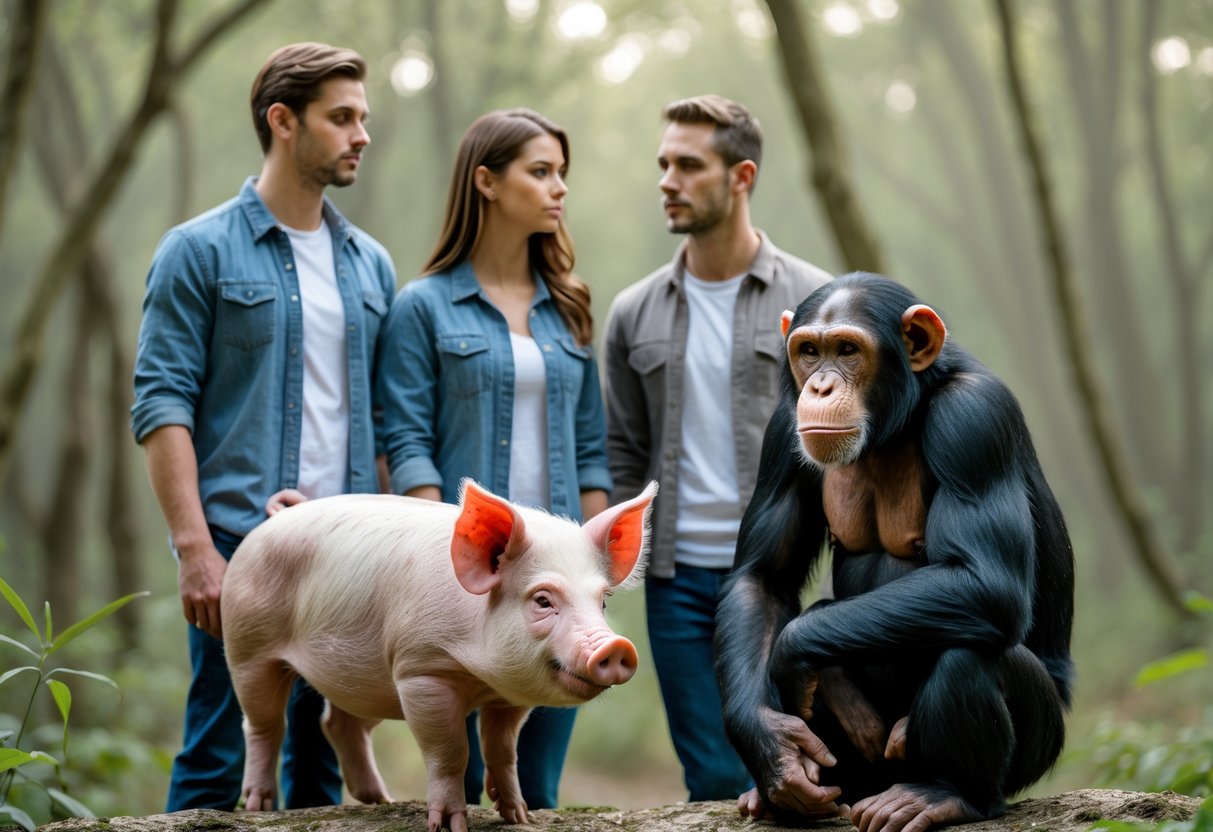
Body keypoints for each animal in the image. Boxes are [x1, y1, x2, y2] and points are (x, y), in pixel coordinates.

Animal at [221, 479, 657, 832]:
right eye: (543, 600)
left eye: (602, 601)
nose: (616, 647)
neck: (481, 679)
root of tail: (276, 518)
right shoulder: (421, 671)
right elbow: (451, 752)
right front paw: (449, 825)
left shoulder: (508, 698)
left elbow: (503, 752)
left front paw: (519, 816)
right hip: (247, 643)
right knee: (262, 724)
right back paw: (259, 806)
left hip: (365, 677)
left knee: (340, 723)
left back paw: (381, 800)